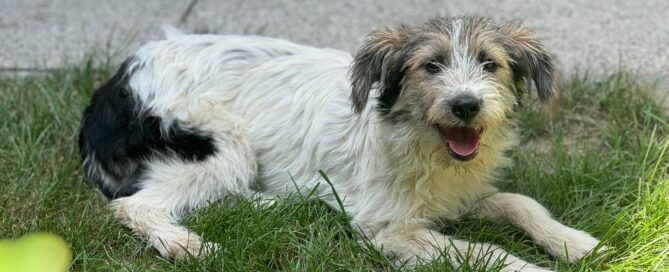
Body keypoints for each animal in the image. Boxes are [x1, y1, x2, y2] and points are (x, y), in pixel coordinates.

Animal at [77, 16, 600, 270]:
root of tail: (112, 85)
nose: (466, 105)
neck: (419, 140)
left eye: (490, 64)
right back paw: (187, 246)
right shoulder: (389, 229)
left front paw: (577, 244)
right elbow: (484, 251)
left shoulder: (461, 193)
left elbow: (519, 202)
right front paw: (532, 268)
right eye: (431, 66)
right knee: (134, 206)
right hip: (223, 147)